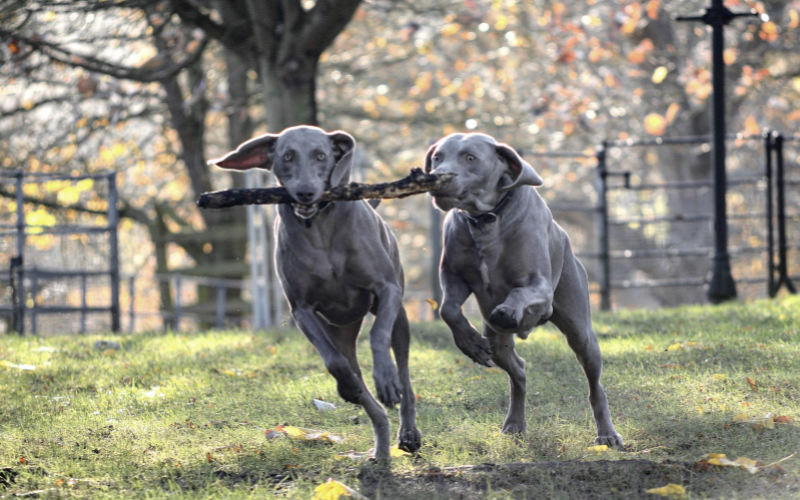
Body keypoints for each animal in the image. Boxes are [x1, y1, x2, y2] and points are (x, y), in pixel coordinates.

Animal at [211, 126, 424, 460]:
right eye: (287, 156)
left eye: (321, 156)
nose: (305, 192)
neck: (320, 227)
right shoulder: (302, 309)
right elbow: (335, 363)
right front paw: (349, 388)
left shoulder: (386, 289)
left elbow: (378, 335)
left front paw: (385, 378)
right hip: (341, 331)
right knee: (356, 378)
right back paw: (379, 444)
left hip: (399, 314)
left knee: (403, 367)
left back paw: (408, 431)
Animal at [428, 132, 620, 446]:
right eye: (437, 157)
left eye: (470, 157)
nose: (437, 177)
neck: (486, 221)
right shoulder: (454, 277)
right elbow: (448, 309)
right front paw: (470, 342)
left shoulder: (539, 287)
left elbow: (520, 292)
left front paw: (507, 310)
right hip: (498, 345)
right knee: (518, 370)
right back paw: (514, 422)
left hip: (581, 332)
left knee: (595, 385)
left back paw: (607, 433)